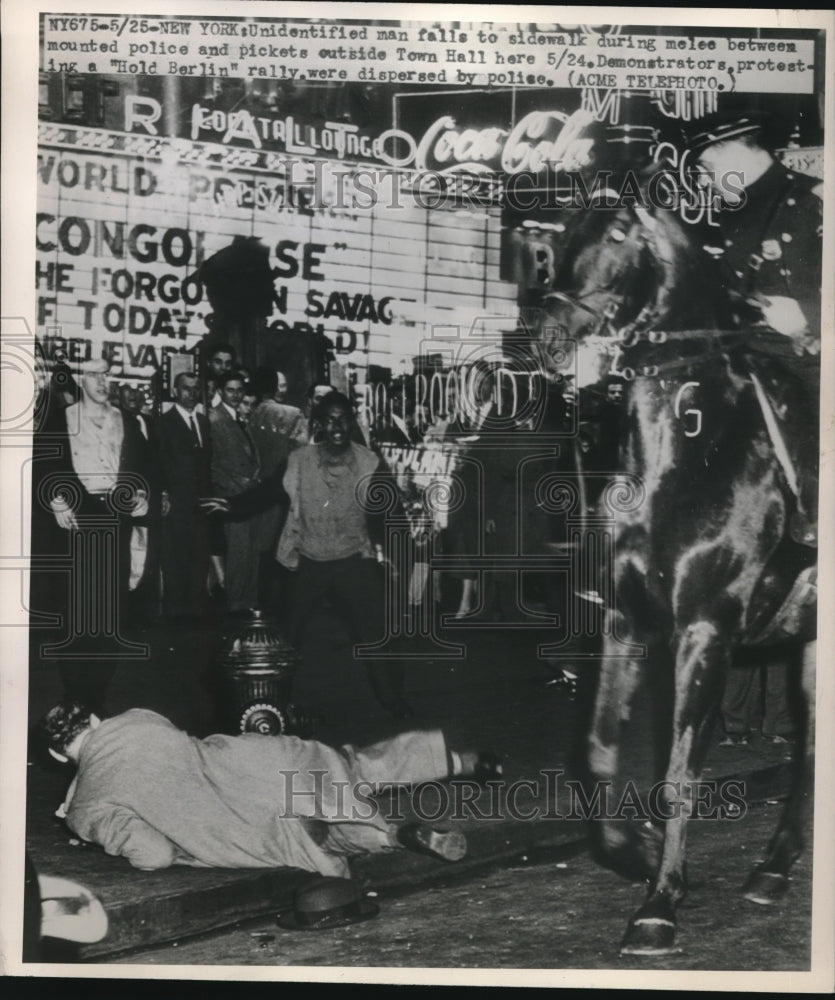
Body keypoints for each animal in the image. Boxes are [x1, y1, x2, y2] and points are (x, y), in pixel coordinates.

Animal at [536, 193, 816, 952]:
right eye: (558, 236)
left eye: (617, 233)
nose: (548, 337)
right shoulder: (625, 624)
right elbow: (597, 753)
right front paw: (633, 853)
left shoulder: (705, 631)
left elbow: (678, 773)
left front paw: (659, 906)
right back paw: (772, 869)